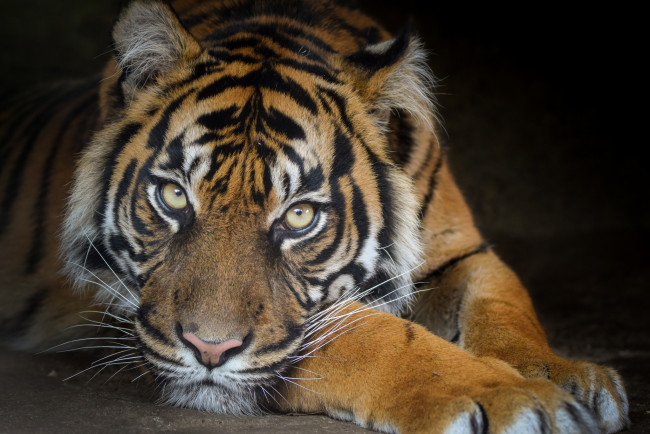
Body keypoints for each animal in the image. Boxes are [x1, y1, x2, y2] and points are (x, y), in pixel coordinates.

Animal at [0, 0, 629, 432]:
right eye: (175, 197)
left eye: (299, 216)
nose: (208, 350)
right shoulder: (119, 297)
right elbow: (375, 336)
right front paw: (519, 400)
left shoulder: (459, 251)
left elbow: (506, 303)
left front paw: (565, 376)